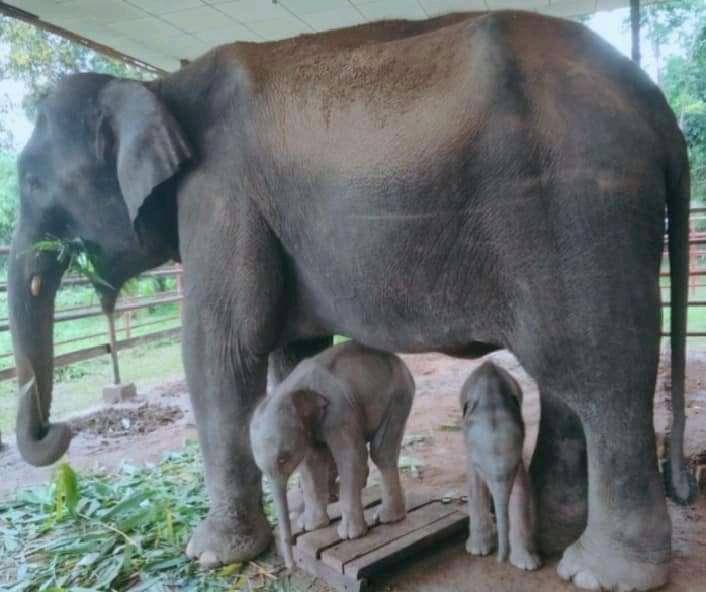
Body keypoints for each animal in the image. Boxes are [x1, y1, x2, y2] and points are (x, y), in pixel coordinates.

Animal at [248, 342, 412, 568]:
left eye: (283, 458)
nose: (291, 566)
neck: (289, 389)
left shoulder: (339, 411)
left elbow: (351, 457)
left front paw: (349, 536)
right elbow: (312, 463)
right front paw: (310, 526)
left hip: (398, 396)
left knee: (381, 452)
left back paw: (386, 518)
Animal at [460, 358, 540, 572]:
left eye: (514, 467)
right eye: (481, 467)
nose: (499, 561)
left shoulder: (518, 457)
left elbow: (521, 488)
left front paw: (528, 565)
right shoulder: (471, 456)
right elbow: (475, 485)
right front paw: (478, 551)